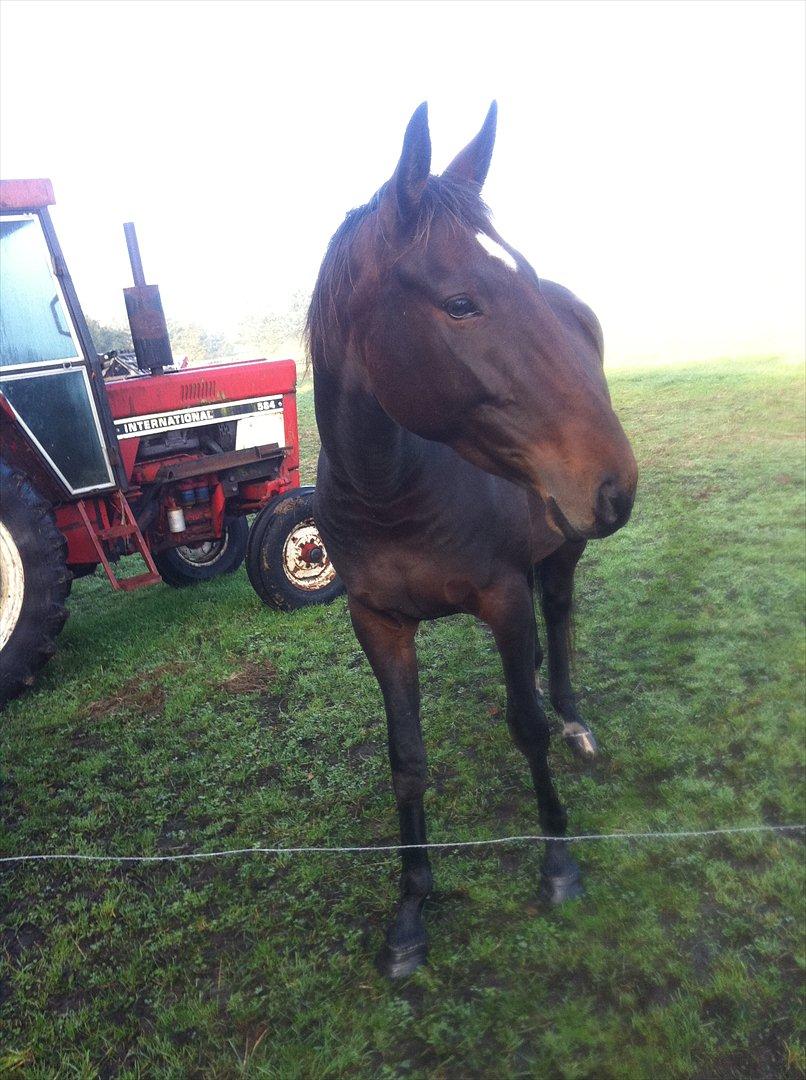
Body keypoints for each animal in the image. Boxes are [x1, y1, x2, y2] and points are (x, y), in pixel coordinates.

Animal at [306, 103, 635, 980]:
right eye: (459, 304)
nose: (615, 483)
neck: (391, 490)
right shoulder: (378, 623)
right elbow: (406, 760)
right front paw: (411, 910)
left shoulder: (502, 595)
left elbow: (526, 729)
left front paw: (558, 861)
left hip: (560, 551)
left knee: (559, 619)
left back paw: (573, 717)